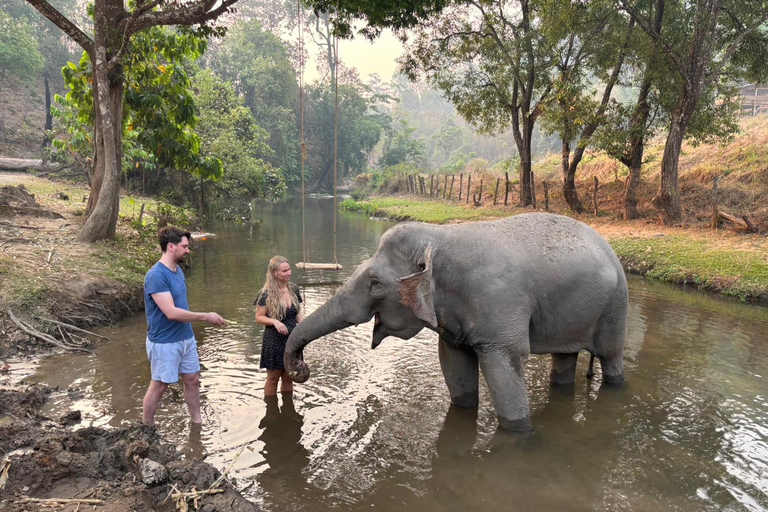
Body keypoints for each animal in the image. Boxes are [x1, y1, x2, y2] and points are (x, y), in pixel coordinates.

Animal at [284, 212, 628, 431]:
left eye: (375, 284)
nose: (301, 367)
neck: (441, 238)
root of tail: (611, 247)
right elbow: (454, 363)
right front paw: (464, 410)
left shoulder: (501, 308)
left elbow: (506, 366)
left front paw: (519, 432)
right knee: (565, 355)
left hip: (615, 305)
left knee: (610, 357)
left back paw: (616, 385)